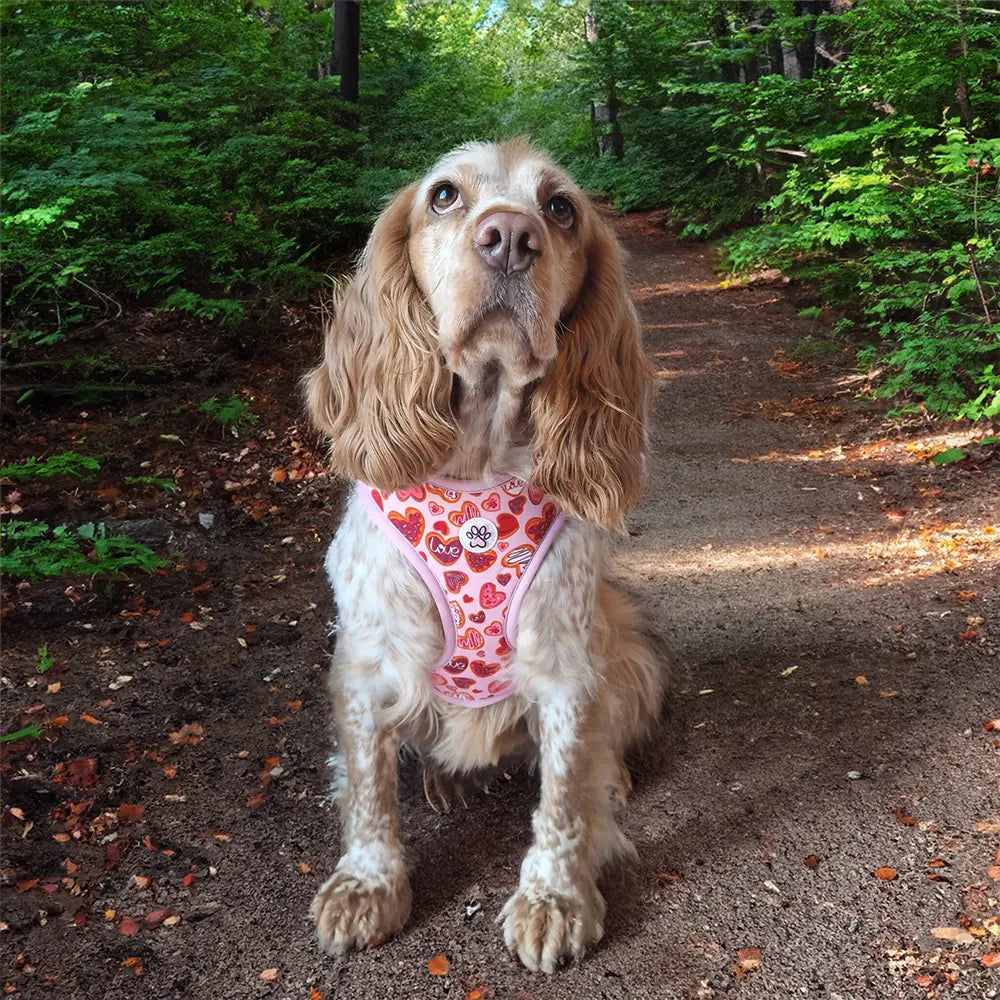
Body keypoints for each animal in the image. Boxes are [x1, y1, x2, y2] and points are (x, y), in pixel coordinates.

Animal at [304, 137, 664, 972]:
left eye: (560, 208)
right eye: (444, 195)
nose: (510, 238)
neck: (476, 467)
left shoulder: (568, 667)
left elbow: (563, 800)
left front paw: (555, 901)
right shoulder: (367, 663)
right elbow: (368, 793)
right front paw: (368, 886)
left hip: (628, 646)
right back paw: (445, 783)